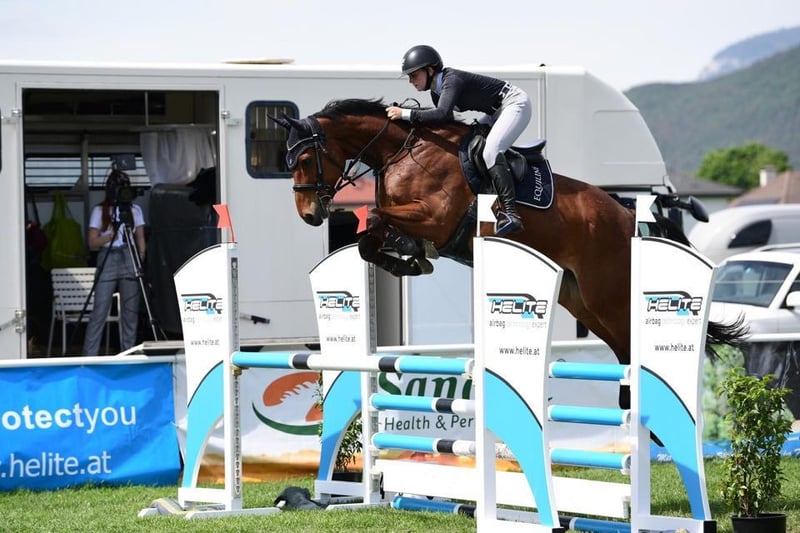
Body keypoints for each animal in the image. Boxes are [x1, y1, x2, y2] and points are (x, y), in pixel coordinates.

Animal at [272, 98, 744, 404]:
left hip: (606, 295)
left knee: (631, 344)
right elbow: (371, 237)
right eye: (287, 161)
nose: (311, 214)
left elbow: (377, 218)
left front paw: (410, 254)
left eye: (305, 160)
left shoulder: (437, 219)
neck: (402, 151)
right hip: (579, 300)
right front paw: (410, 258)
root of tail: (628, 216)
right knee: (621, 349)